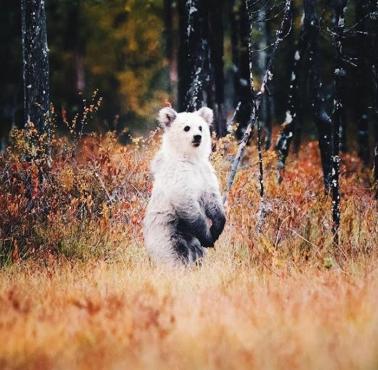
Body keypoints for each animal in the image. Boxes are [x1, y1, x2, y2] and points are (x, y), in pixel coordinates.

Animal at [143, 106, 226, 266]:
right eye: (187, 127)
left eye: (200, 127)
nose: (197, 137)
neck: (191, 159)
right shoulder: (178, 176)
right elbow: (186, 202)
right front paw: (207, 237)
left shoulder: (205, 172)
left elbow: (213, 199)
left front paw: (216, 229)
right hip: (167, 233)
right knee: (173, 255)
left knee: (198, 254)